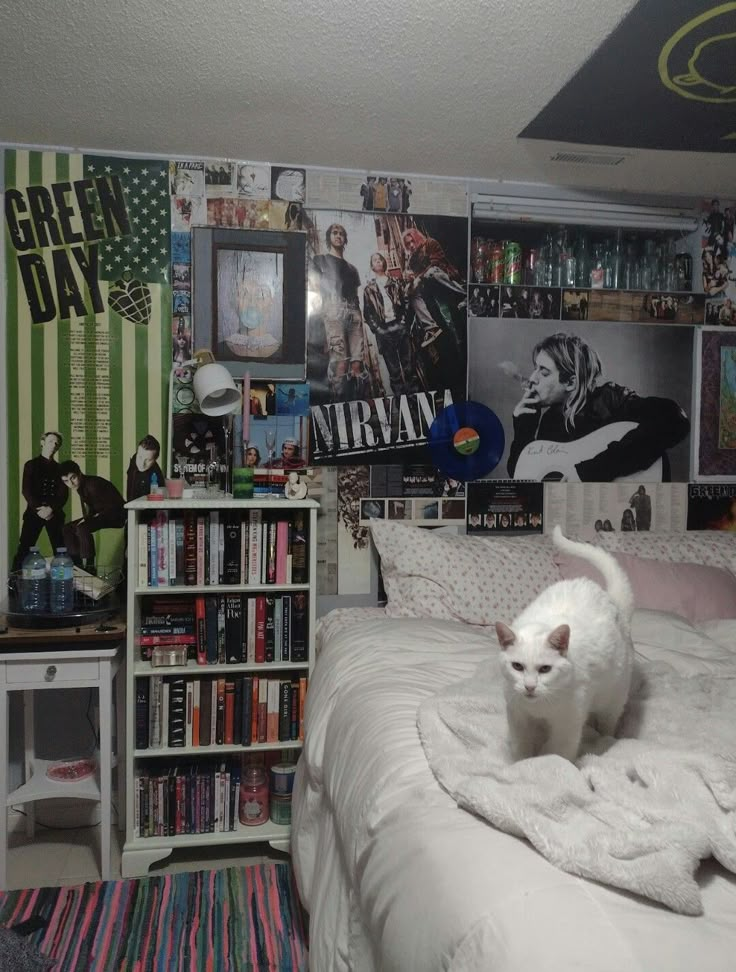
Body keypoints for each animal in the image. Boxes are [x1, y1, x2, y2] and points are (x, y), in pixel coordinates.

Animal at [498, 528, 636, 764]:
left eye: (545, 669)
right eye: (517, 666)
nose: (529, 687)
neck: (540, 707)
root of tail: (612, 600)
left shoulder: (568, 724)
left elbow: (557, 753)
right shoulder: (518, 717)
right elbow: (522, 750)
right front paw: (522, 764)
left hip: (613, 697)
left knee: (608, 722)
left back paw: (605, 739)